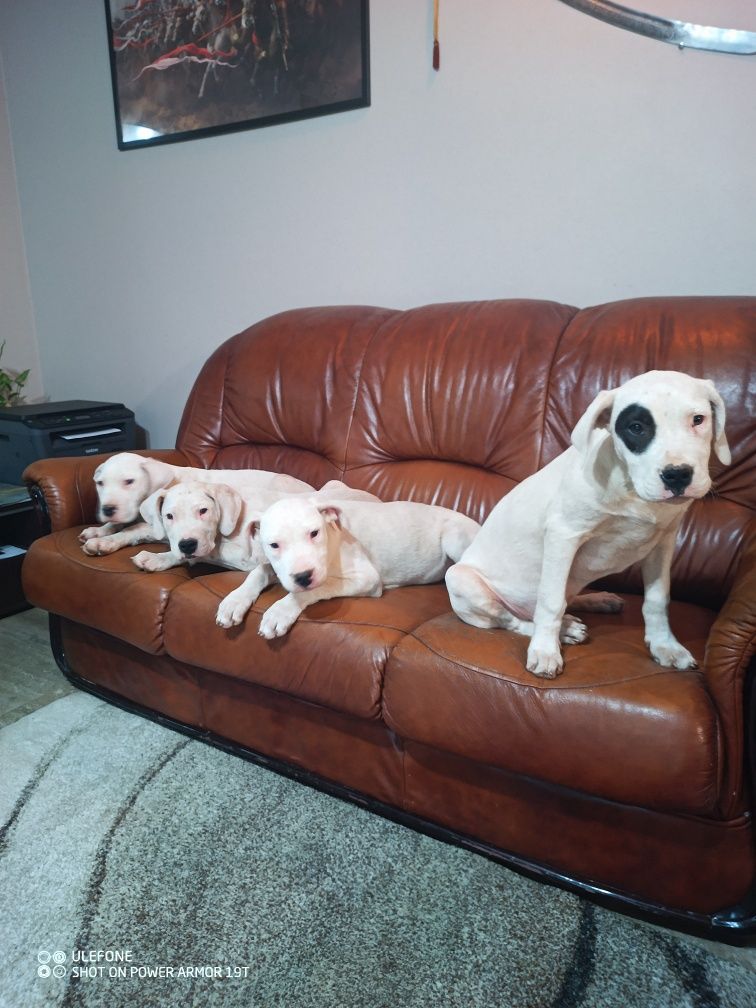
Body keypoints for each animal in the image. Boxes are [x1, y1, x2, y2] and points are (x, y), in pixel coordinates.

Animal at [447, 370, 729, 677]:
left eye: (698, 419)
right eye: (636, 427)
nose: (677, 475)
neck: (629, 488)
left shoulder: (663, 542)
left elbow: (657, 599)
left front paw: (665, 645)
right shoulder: (563, 535)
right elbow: (551, 601)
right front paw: (545, 651)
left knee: (568, 595)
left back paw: (596, 601)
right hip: (462, 581)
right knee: (514, 619)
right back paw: (563, 630)